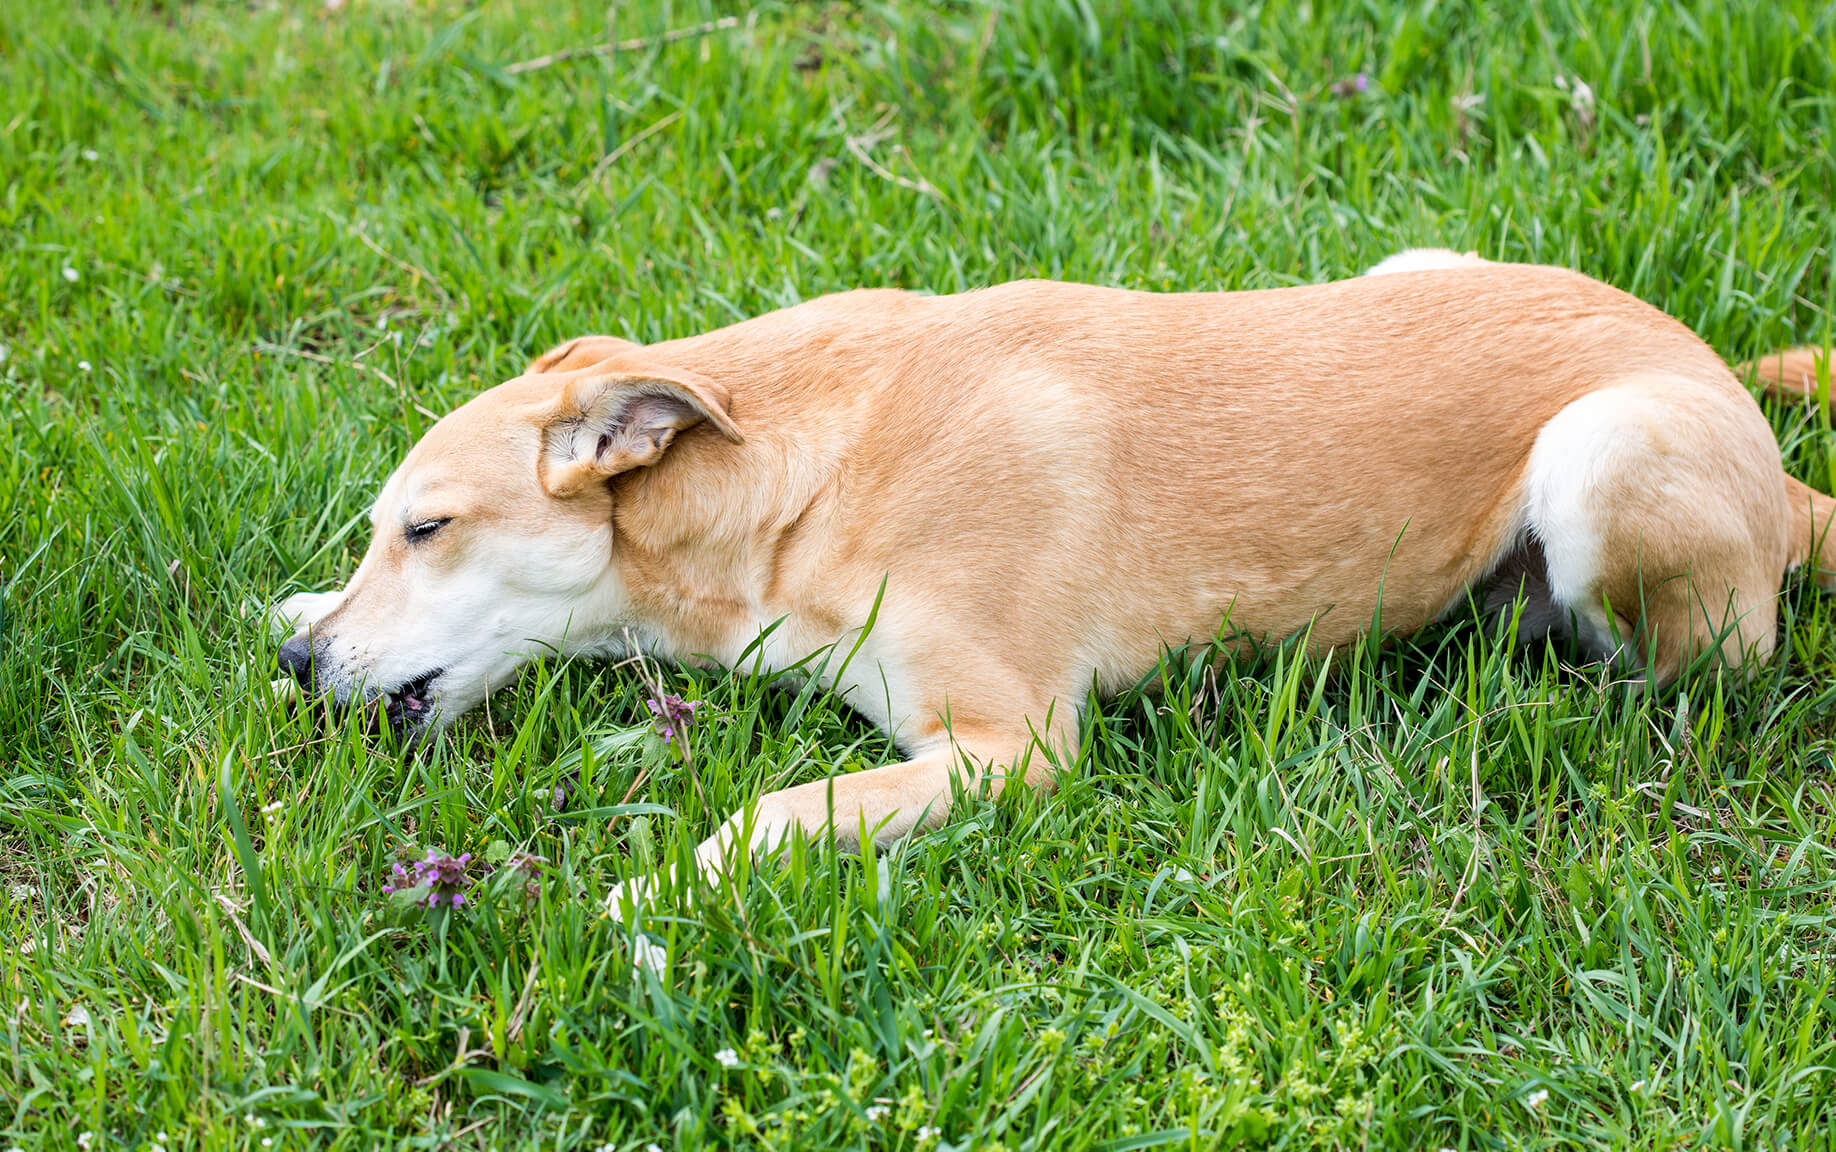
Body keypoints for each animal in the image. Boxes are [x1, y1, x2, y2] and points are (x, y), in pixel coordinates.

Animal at [271, 251, 1836, 911]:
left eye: (426, 528)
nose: (295, 669)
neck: (787, 479)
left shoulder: (1008, 748)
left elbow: (766, 816)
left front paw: (641, 910)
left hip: (1597, 453)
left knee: (1690, 674)